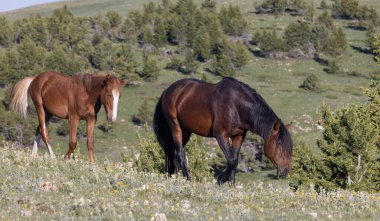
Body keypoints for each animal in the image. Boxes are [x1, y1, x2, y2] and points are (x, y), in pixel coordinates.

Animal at [153, 77, 292, 184]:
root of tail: (168, 90)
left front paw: (231, 183)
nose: (286, 170)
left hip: (186, 131)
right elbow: (231, 161)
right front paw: (221, 180)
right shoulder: (221, 135)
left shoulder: (238, 136)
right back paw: (187, 179)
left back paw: (173, 176)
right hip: (175, 127)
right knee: (179, 154)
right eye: (279, 145)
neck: (236, 106)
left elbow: (234, 160)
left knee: (173, 153)